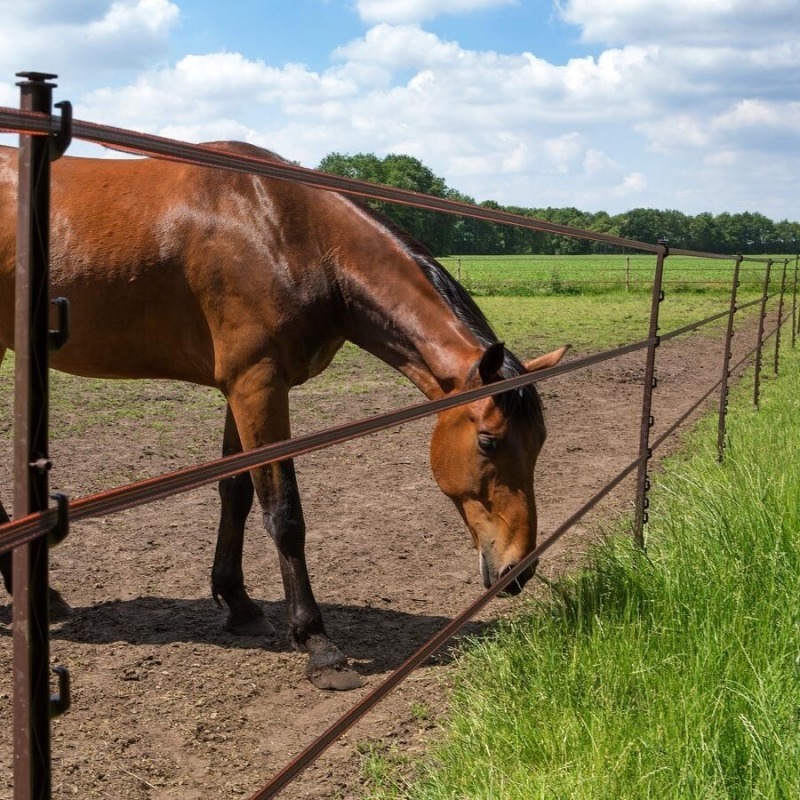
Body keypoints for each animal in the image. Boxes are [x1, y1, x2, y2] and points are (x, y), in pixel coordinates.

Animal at [0, 142, 564, 688]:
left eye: (539, 442)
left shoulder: (241, 390)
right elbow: (284, 513)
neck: (285, 232)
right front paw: (318, 644)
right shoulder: (259, 387)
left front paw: (239, 603)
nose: (519, 568)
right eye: (489, 441)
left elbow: (237, 493)